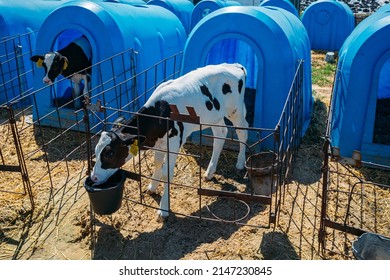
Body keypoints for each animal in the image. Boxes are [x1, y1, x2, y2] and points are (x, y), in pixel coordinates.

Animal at [91, 63, 248, 219]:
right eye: (96, 151)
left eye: (110, 154)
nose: (93, 178)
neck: (159, 113)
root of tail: (234, 65)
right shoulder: (159, 143)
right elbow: (157, 163)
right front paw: (152, 187)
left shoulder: (173, 144)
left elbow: (167, 173)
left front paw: (164, 208)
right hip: (214, 117)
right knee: (221, 134)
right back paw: (209, 172)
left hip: (236, 110)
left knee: (243, 132)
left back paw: (240, 163)